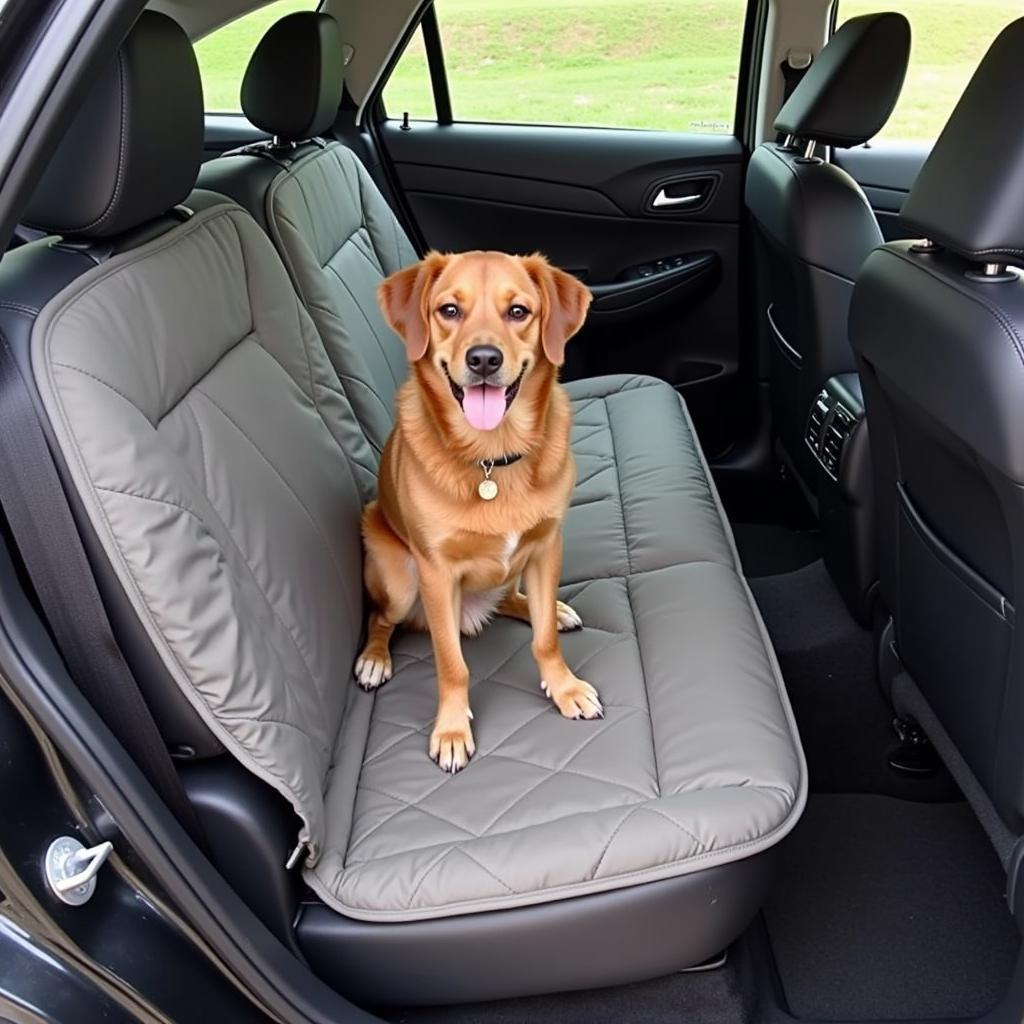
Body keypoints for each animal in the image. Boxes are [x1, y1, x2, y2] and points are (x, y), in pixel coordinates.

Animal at [356, 251, 602, 770]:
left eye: (519, 311)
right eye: (449, 310)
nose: (484, 359)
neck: (492, 455)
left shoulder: (546, 545)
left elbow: (544, 639)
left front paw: (564, 687)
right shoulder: (435, 572)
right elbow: (452, 664)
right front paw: (451, 730)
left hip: (515, 568)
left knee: (513, 599)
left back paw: (551, 609)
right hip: (400, 583)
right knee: (380, 619)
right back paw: (374, 658)